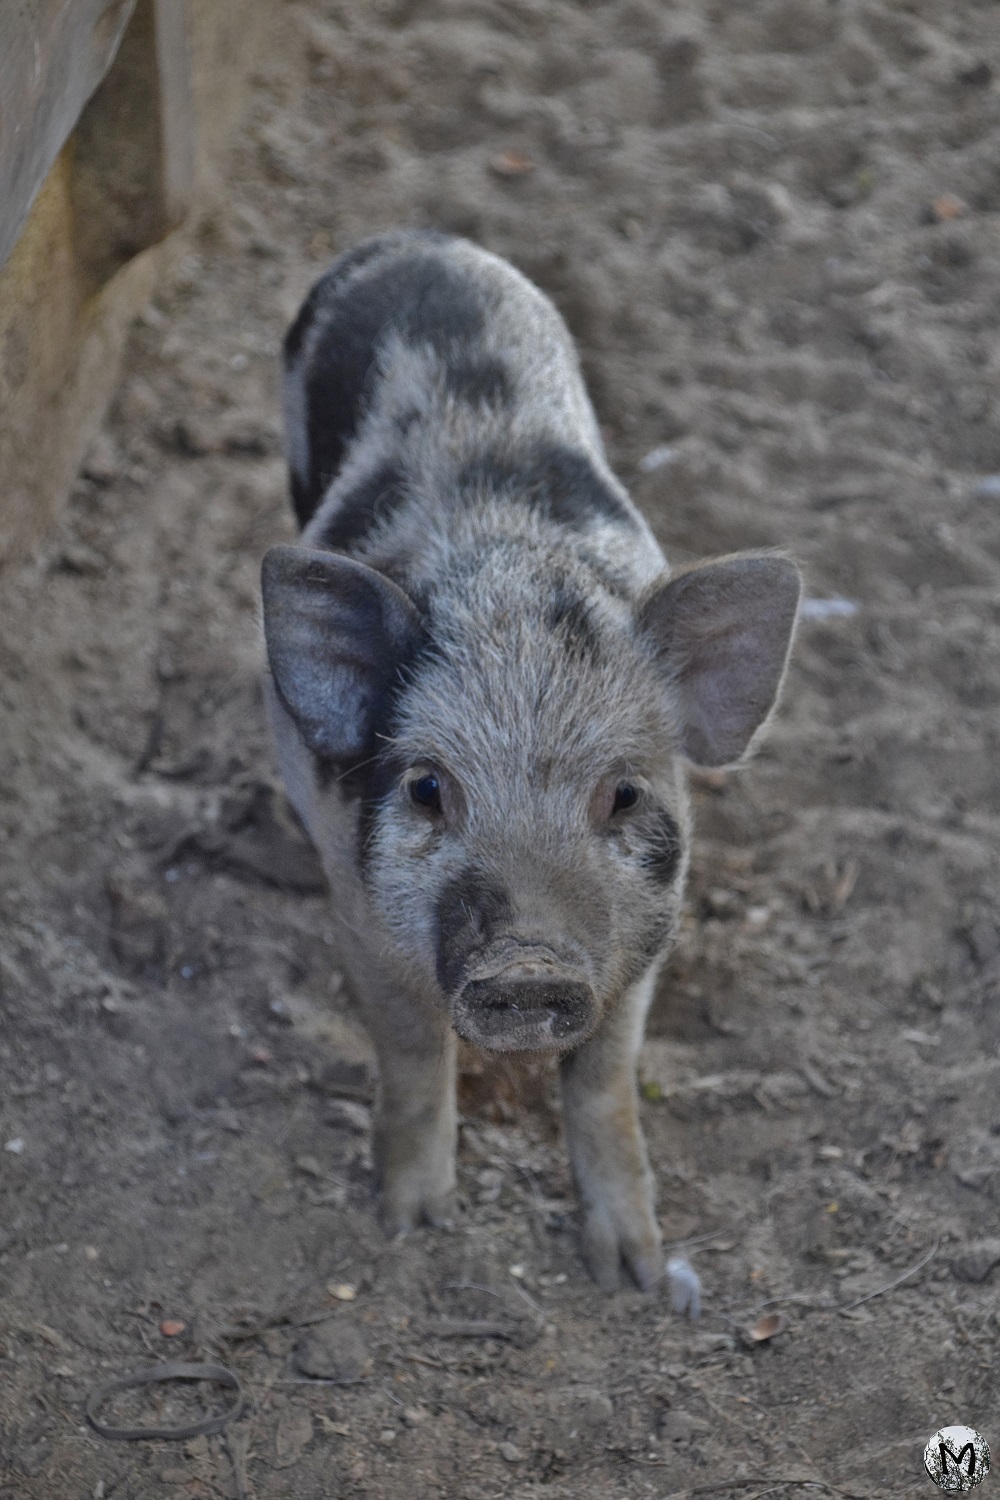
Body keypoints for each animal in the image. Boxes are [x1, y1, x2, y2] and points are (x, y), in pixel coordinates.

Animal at [261, 231, 800, 1292]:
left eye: (624, 792)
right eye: (429, 787)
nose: (531, 961)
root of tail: (414, 240)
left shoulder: (645, 941)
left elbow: (605, 1087)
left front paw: (636, 1270)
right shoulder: (360, 911)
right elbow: (414, 1058)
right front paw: (410, 1225)